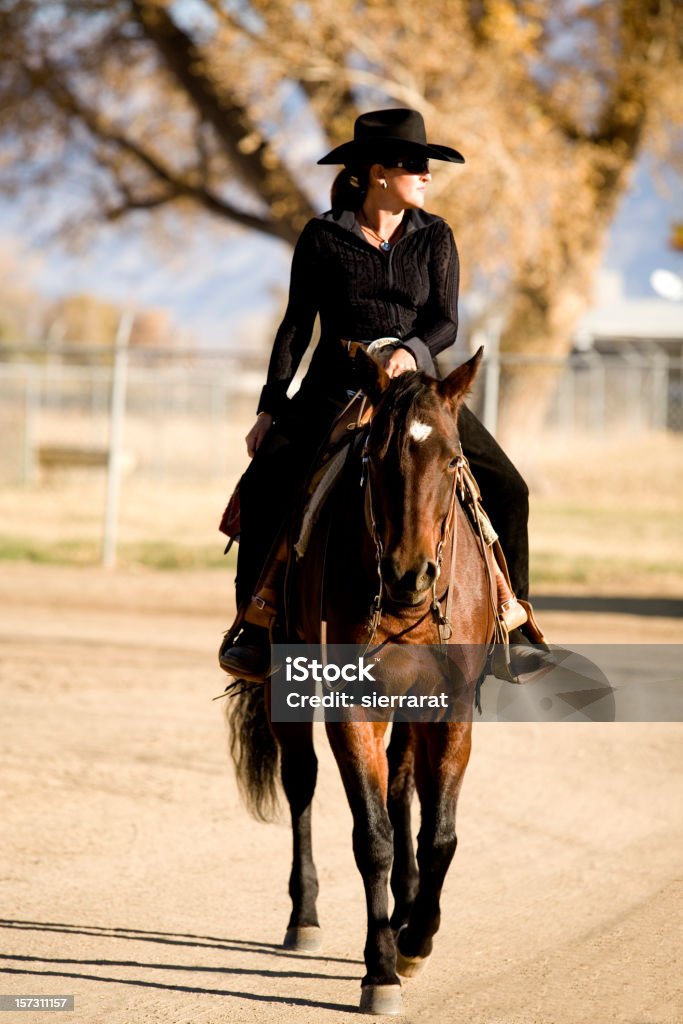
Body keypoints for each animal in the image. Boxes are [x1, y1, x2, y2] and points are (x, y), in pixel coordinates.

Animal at [227, 346, 493, 1015]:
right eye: (378, 457)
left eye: (452, 459)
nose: (409, 574)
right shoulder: (351, 708)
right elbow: (371, 836)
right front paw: (381, 971)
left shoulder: (451, 708)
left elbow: (439, 834)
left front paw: (415, 940)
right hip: (285, 679)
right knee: (301, 781)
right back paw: (306, 917)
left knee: (402, 787)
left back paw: (405, 911)